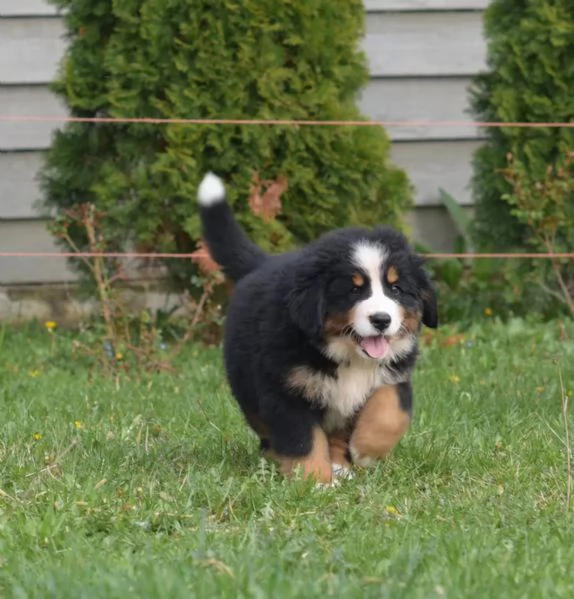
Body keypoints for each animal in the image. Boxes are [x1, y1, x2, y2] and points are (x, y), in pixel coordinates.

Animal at [199, 172, 440, 482]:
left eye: (396, 289)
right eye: (353, 290)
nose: (381, 320)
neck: (346, 355)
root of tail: (264, 262)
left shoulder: (394, 376)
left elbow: (391, 413)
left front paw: (365, 451)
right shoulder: (286, 389)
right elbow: (303, 439)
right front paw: (315, 481)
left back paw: (340, 466)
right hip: (246, 383)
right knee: (265, 428)